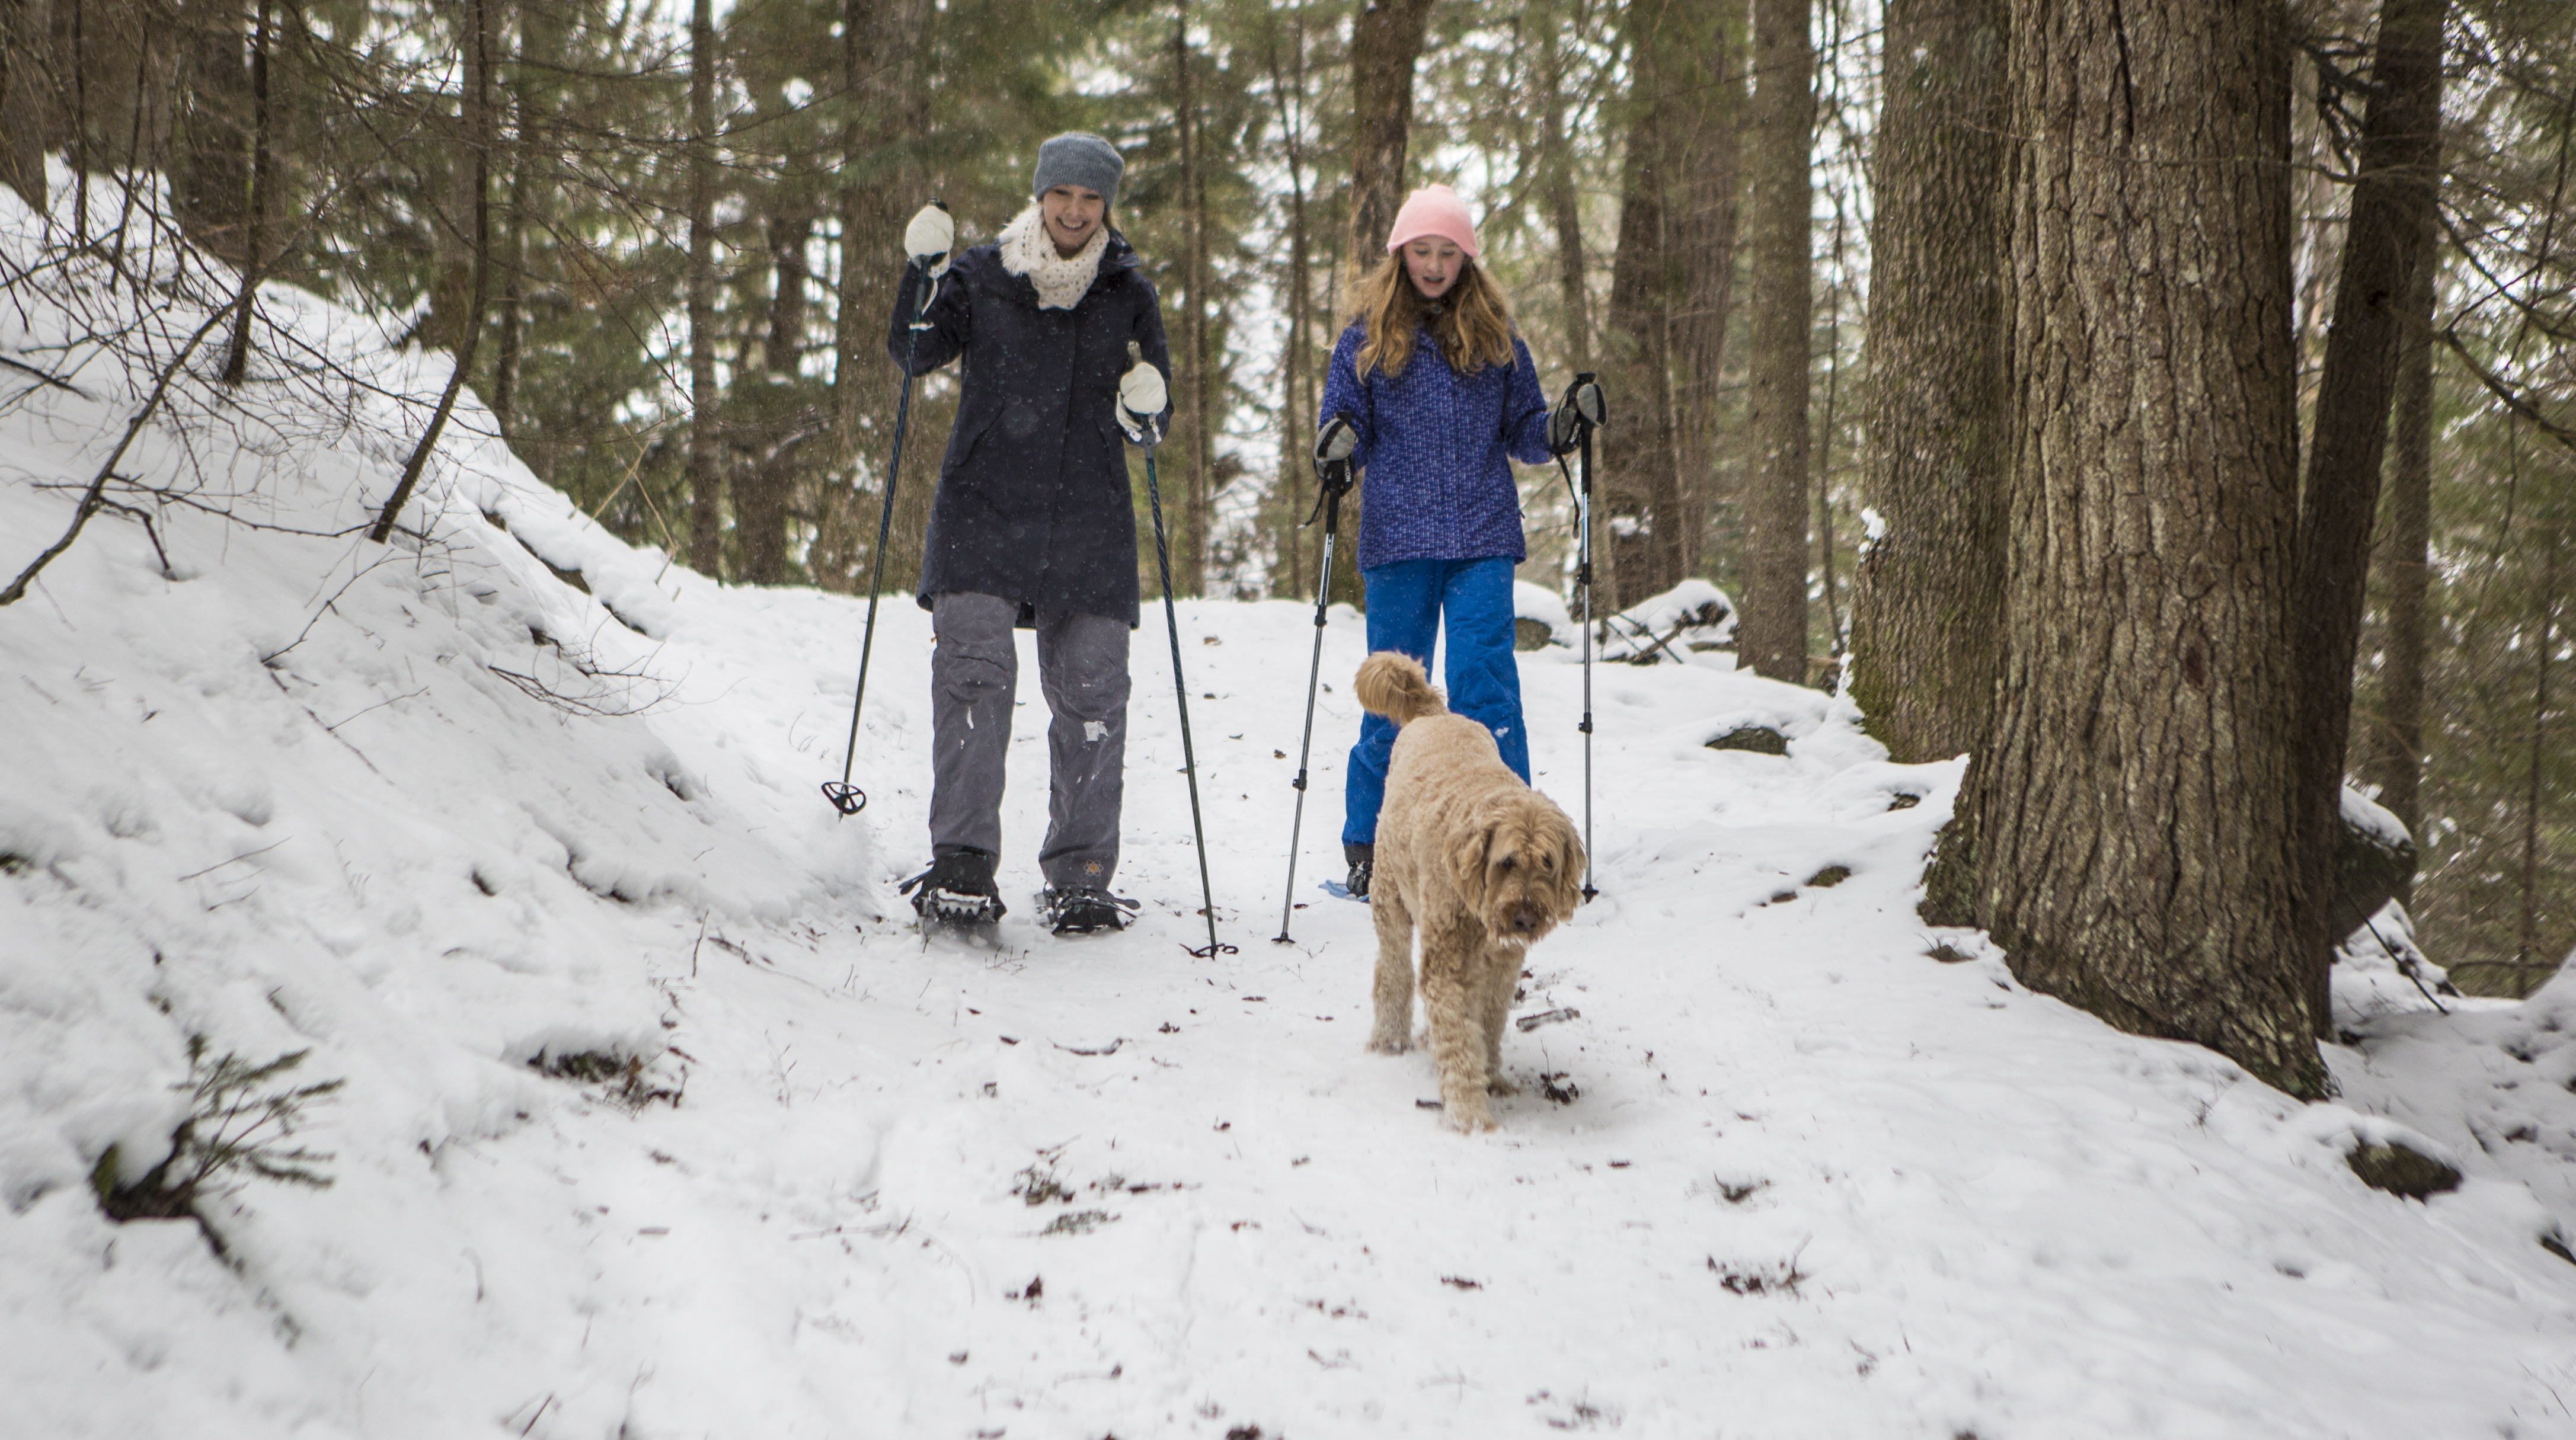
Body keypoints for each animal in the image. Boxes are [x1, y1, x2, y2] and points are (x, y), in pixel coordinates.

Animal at [1360, 649, 1576, 1133]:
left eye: (1548, 863)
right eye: (1507, 862)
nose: (1526, 918)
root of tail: (1434, 714)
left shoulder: (1502, 966)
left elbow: (1488, 1022)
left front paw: (1491, 1076)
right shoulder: (1449, 966)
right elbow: (1459, 1038)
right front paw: (1470, 1116)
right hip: (1390, 895)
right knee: (1393, 970)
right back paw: (1390, 1038)